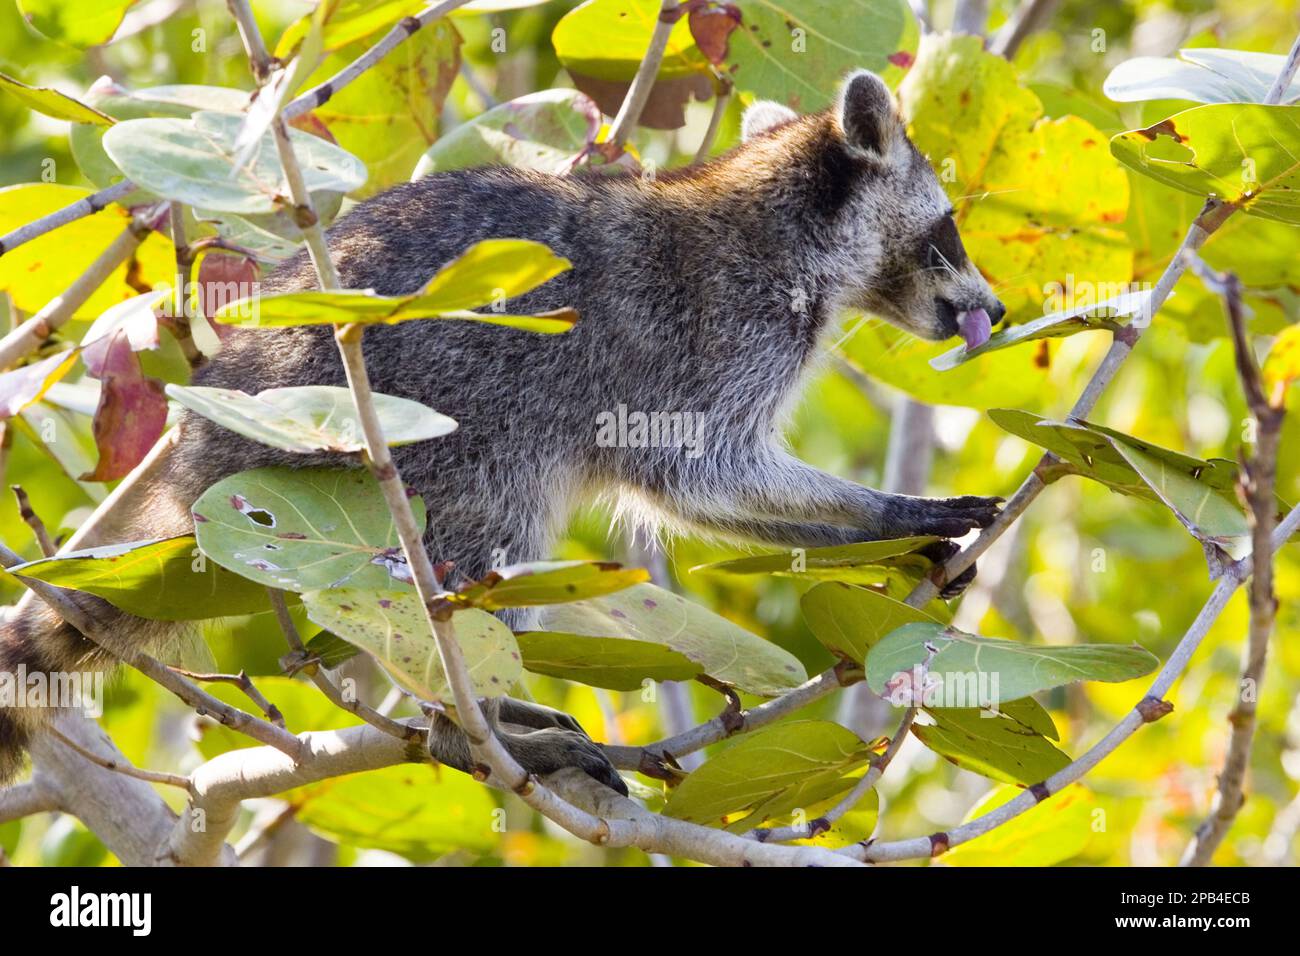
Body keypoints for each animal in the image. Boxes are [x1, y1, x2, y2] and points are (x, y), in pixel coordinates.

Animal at [0, 70, 1003, 793]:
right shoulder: (708, 337)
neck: (786, 225)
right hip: (406, 435)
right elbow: (698, 472)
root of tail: (201, 453)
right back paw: (462, 721)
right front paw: (888, 512)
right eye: (950, 226)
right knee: (488, 539)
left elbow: (702, 489)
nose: (993, 310)